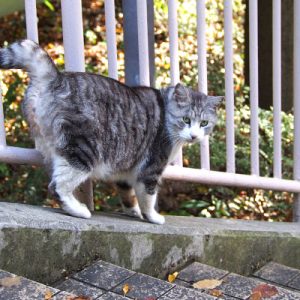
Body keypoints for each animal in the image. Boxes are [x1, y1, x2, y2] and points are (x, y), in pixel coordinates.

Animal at [0, 39, 223, 223]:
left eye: (204, 123)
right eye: (186, 120)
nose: (194, 135)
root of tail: (56, 78)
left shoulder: (125, 171)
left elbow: (128, 195)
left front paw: (133, 212)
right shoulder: (150, 169)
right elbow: (147, 197)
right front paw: (153, 217)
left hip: (52, 147)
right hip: (83, 151)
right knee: (57, 187)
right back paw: (79, 210)